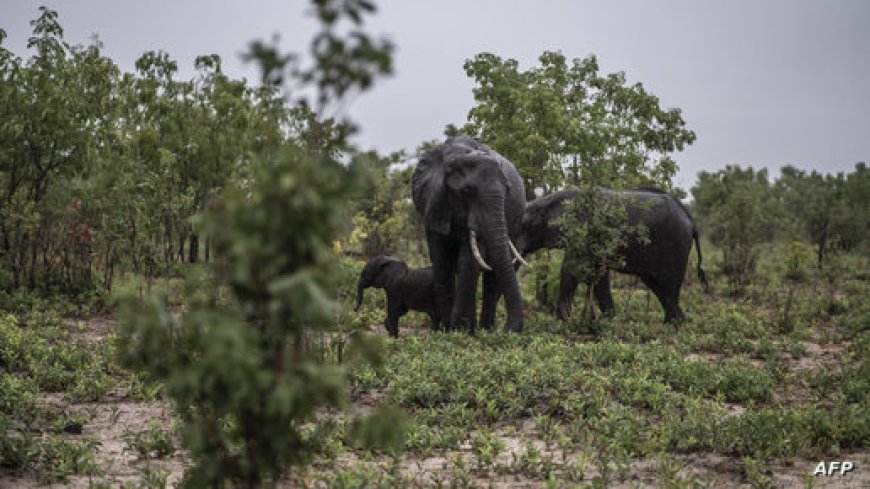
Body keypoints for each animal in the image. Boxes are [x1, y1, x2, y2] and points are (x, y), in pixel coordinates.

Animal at [412, 134, 528, 332]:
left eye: (508, 191)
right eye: (466, 191)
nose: (507, 329)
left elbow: (469, 260)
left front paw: (459, 330)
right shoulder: (433, 203)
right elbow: (441, 261)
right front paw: (448, 330)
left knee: (492, 274)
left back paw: (485, 330)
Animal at [516, 187, 708, 324]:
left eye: (525, 226)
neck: (547, 201)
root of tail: (691, 220)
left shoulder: (583, 231)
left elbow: (571, 270)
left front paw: (560, 323)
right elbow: (598, 275)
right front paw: (608, 321)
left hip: (675, 244)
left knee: (668, 284)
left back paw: (672, 325)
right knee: (657, 285)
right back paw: (674, 323)